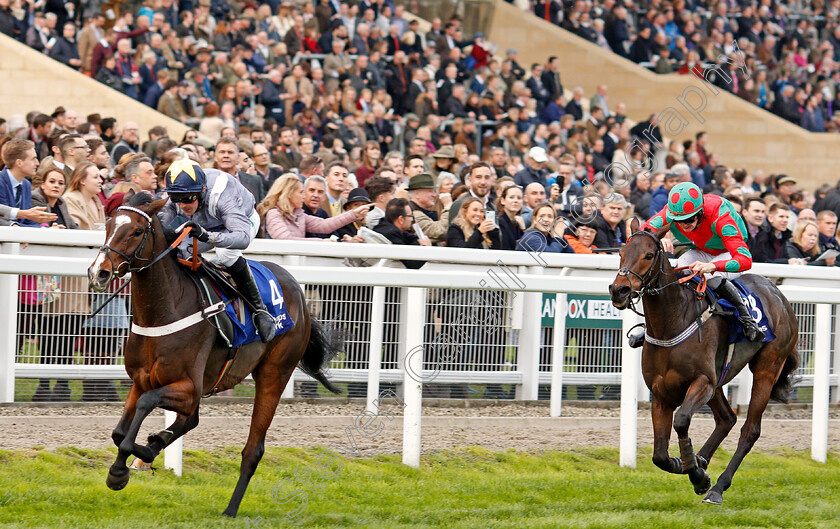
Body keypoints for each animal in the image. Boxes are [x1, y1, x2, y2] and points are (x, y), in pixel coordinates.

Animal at [88, 193, 342, 516]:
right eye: (108, 226)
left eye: (136, 231)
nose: (99, 272)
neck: (164, 311)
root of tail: (296, 289)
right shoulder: (141, 380)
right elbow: (120, 432)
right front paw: (126, 465)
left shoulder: (188, 387)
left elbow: (146, 406)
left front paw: (129, 463)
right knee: (192, 421)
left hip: (275, 372)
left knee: (253, 449)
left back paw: (230, 510)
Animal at [608, 221, 796, 506]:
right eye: (621, 252)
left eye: (649, 255)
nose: (619, 290)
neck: (673, 322)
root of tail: (778, 294)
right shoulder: (661, 393)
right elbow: (659, 456)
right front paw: (691, 466)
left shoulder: (702, 382)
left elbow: (682, 421)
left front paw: (696, 473)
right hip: (720, 379)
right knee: (727, 418)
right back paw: (703, 462)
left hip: (767, 368)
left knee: (749, 430)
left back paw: (717, 487)